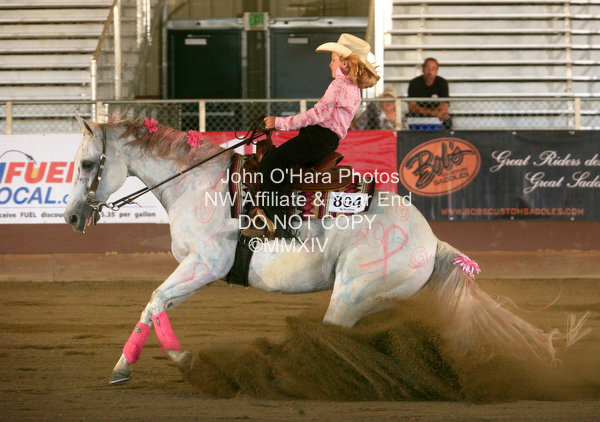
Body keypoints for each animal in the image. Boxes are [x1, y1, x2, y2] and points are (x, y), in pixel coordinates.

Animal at [64, 115, 589, 385]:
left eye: (88, 163)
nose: (70, 218)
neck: (198, 184)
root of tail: (431, 239)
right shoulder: (195, 269)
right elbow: (154, 307)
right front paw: (129, 367)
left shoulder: (206, 265)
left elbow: (154, 301)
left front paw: (177, 361)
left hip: (353, 293)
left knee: (336, 338)